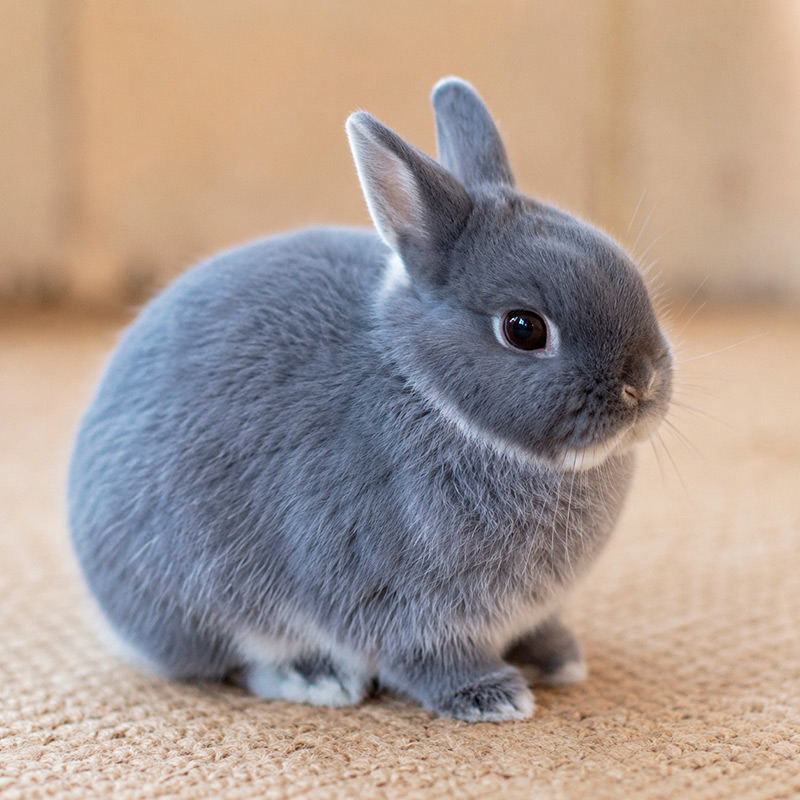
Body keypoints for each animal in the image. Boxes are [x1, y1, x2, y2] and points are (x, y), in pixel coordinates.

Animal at [68, 77, 672, 722]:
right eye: (524, 328)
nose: (642, 386)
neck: (433, 396)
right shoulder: (402, 602)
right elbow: (424, 658)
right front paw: (492, 695)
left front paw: (559, 657)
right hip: (202, 593)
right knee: (232, 660)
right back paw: (318, 678)